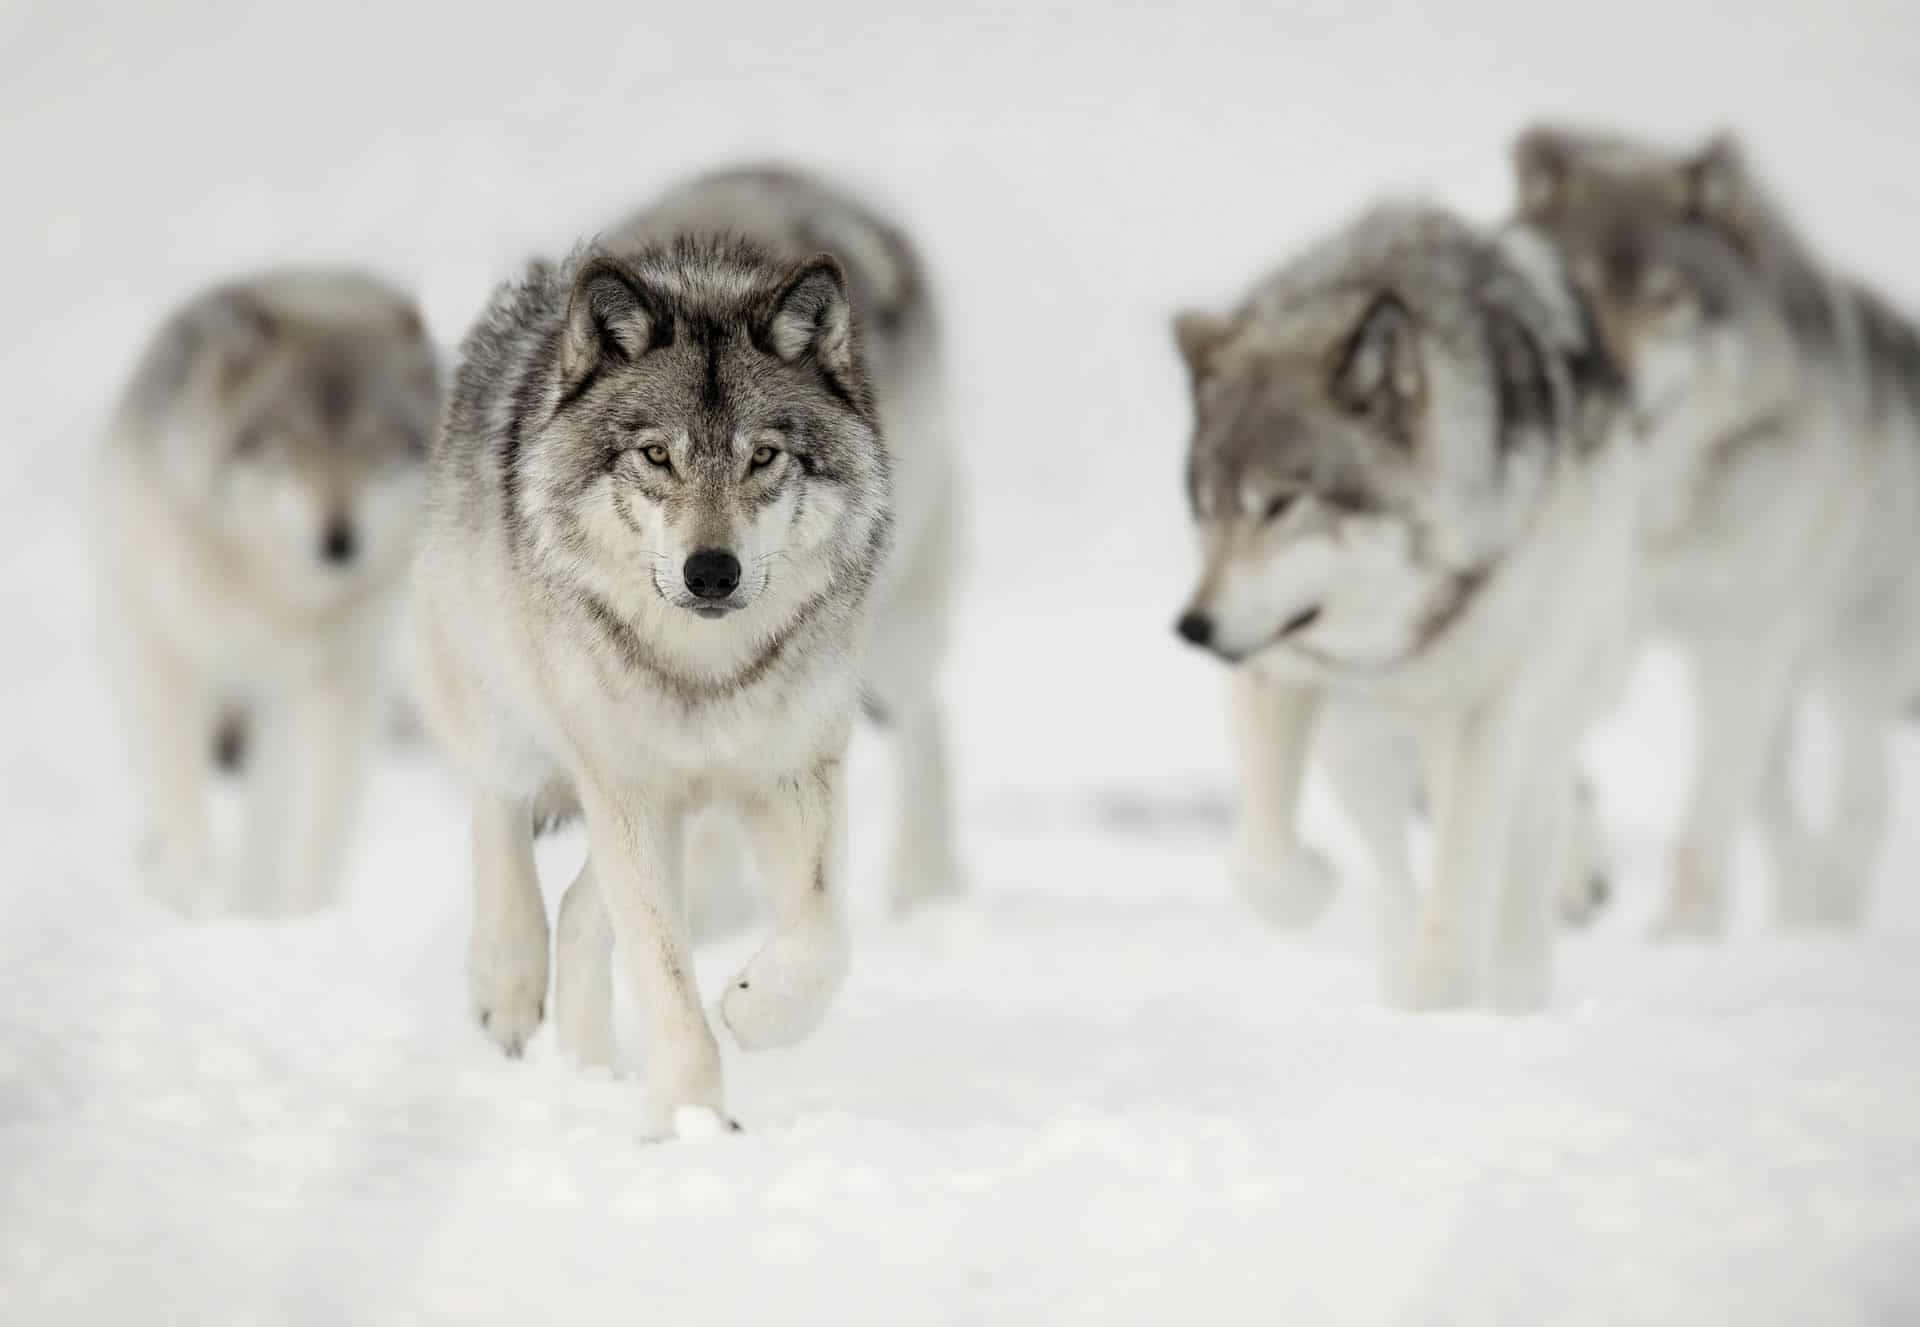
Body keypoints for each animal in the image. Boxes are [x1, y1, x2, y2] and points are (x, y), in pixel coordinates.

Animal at [99, 270, 439, 918]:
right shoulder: (174, 663)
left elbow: (306, 821)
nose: (340, 543)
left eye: (375, 446)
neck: (271, 587)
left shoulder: (321, 684)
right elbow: (184, 803)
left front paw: (293, 914)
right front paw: (192, 906)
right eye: (292, 444)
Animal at [413, 222, 892, 1134]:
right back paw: (507, 982)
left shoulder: (794, 769)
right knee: (498, 807)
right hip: (509, 705)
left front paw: (754, 1007)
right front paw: (690, 1120)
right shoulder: (625, 789)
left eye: (763, 456)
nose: (711, 571)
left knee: (579, 910)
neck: (707, 672)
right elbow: (666, 980)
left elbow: (826, 935)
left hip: (683, 813)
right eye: (657, 455)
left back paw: (587, 1068)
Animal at [602, 168, 962, 918]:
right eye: (656, 454)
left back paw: (927, 891)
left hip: (893, 617)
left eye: (764, 455)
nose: (711, 573)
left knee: (923, 719)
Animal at [1171, 204, 1639, 1009]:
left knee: (1532, 828)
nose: (1193, 627)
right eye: (1207, 508)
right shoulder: (1281, 668)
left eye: (1280, 504)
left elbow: (1467, 861)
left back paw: (1518, 982)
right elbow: (1261, 862)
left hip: (1545, 698)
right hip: (1358, 742)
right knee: (1391, 861)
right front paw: (1316, 888)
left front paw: (1446, 993)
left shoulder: (1485, 708)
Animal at [1513, 126, 1920, 932]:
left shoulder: (1739, 649)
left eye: (1665, 299)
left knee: (1861, 798)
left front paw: (1681, 941)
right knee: (1777, 806)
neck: (1649, 516)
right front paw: (1573, 876)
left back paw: (1826, 915)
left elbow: (1704, 830)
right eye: (1576, 290)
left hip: (1848, 657)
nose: (1611, 378)